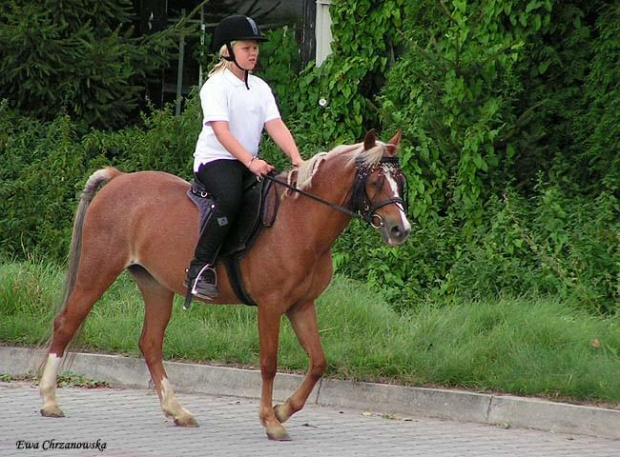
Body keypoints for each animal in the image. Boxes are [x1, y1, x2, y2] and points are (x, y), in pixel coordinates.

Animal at [37, 129, 406, 438]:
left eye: (399, 180)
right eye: (375, 181)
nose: (400, 229)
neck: (300, 222)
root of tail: (119, 179)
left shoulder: (302, 306)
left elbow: (318, 363)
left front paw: (283, 410)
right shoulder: (271, 306)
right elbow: (269, 363)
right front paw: (270, 421)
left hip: (156, 286)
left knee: (150, 343)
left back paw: (177, 410)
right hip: (97, 271)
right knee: (67, 322)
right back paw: (49, 400)